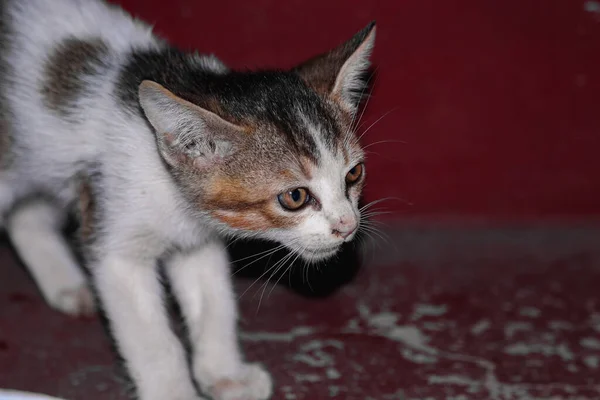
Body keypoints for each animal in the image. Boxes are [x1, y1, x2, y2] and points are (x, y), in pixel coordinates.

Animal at [0, 0, 376, 400]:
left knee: (26, 216)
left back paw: (65, 284)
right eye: (295, 196)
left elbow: (213, 304)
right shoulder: (117, 245)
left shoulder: (197, 240)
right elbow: (154, 341)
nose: (347, 225)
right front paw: (173, 390)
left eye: (354, 174)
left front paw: (226, 374)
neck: (173, 188)